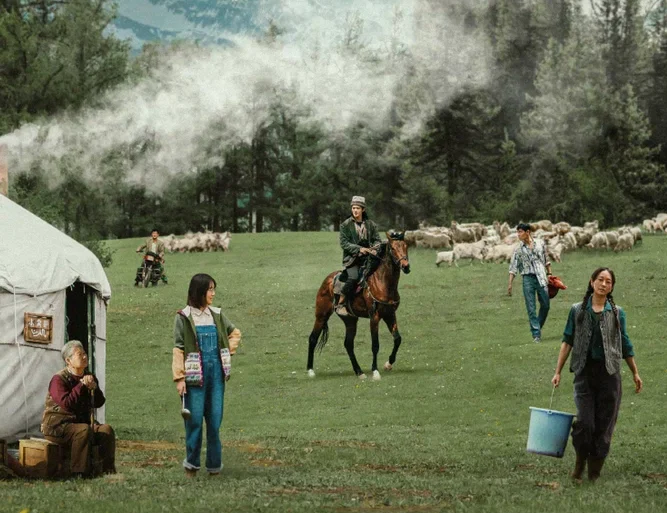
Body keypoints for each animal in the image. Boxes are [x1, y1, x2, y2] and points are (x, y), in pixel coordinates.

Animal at [306, 232, 411, 380]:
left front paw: (388, 364)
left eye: (406, 246)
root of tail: (328, 280)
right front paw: (375, 371)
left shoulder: (390, 314)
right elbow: (375, 345)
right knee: (313, 339)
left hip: (350, 320)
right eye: (393, 248)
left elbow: (397, 339)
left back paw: (359, 372)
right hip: (321, 316)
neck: (382, 283)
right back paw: (310, 370)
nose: (406, 266)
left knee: (348, 344)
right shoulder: (374, 317)